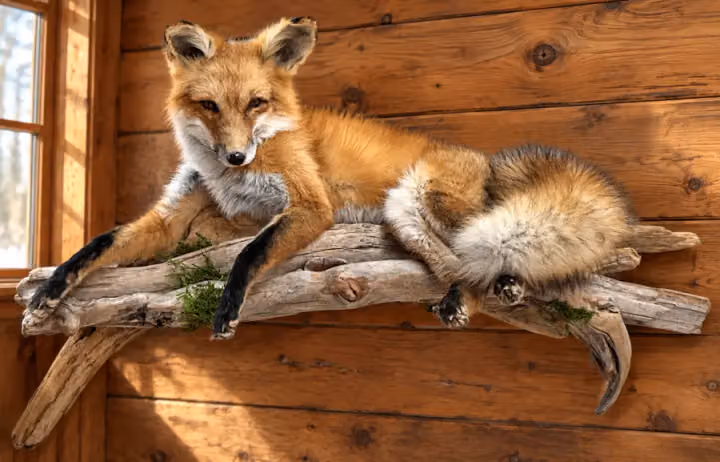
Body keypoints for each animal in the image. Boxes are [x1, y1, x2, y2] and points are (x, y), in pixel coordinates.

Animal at [28, 17, 634, 338]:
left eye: (256, 103)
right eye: (209, 106)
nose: (235, 157)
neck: (229, 182)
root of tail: (486, 159)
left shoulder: (309, 204)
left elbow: (249, 252)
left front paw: (227, 306)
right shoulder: (171, 217)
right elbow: (99, 244)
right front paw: (52, 289)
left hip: (417, 199)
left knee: (477, 256)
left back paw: (486, 291)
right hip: (406, 218)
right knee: (462, 264)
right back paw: (495, 288)